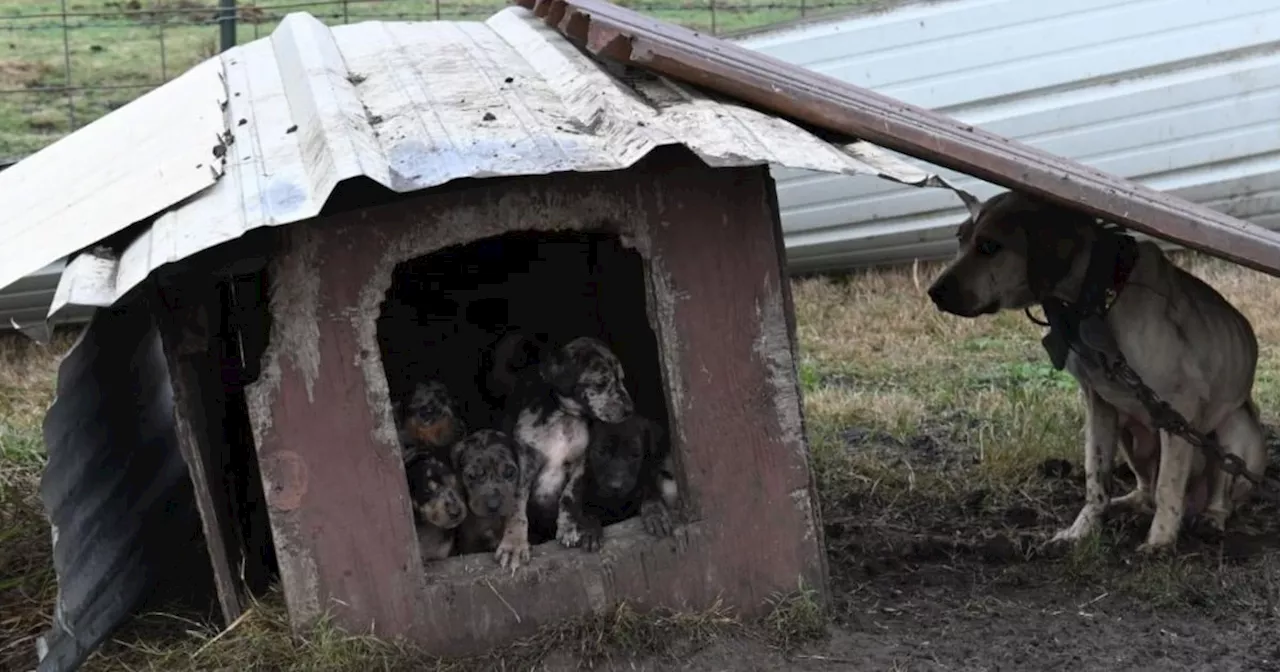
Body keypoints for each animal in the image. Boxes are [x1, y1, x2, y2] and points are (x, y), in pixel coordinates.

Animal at [926, 189, 1264, 555]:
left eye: (989, 246)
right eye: (960, 239)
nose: (934, 292)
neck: (1100, 299)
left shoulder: (1178, 407)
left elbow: (1168, 485)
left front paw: (1160, 541)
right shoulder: (1099, 403)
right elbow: (1096, 474)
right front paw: (1084, 529)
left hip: (1232, 433)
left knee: (1219, 496)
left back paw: (1210, 519)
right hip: (1131, 436)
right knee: (1145, 489)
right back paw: (1126, 505)